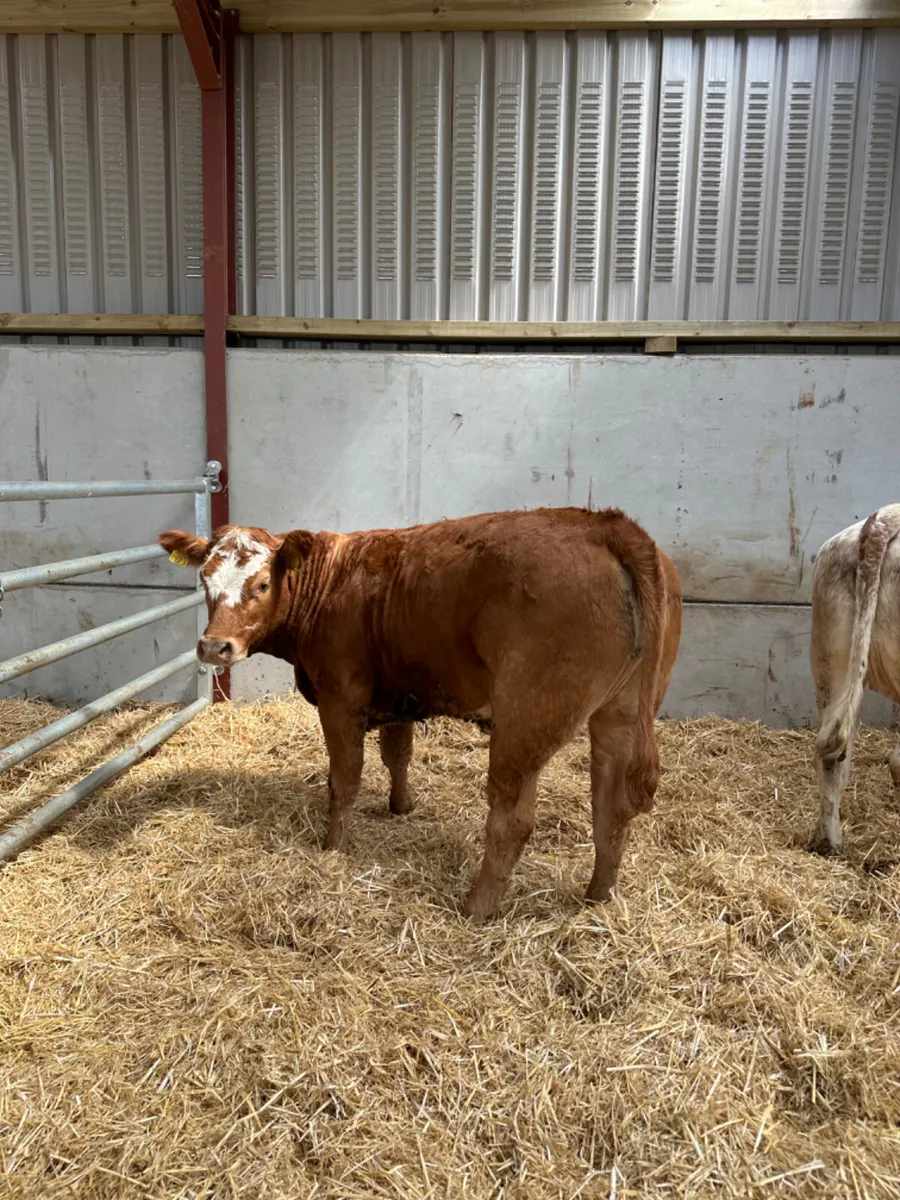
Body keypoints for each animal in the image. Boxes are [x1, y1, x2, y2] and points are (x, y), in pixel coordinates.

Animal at [160, 507, 682, 919]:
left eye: (263, 583)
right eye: (204, 581)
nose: (214, 646)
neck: (329, 583)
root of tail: (605, 524)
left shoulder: (339, 699)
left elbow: (344, 779)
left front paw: (332, 847)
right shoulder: (397, 695)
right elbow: (398, 755)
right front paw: (401, 807)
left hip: (527, 720)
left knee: (512, 820)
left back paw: (476, 908)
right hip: (621, 712)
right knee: (611, 807)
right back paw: (597, 897)